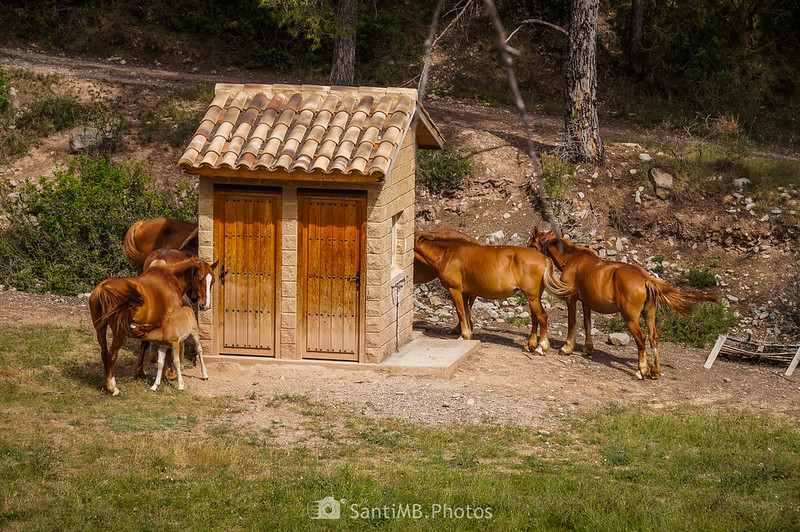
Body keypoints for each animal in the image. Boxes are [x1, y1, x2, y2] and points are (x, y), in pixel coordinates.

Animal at [89, 256, 217, 395]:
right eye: (200, 279)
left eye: (212, 281)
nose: (205, 305)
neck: (171, 279)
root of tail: (103, 289)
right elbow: (169, 351)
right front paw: (170, 373)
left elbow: (145, 344)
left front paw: (139, 371)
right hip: (119, 332)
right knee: (112, 354)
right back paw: (113, 386)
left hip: (100, 329)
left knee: (104, 352)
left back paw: (105, 384)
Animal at [414, 232, 572, 354]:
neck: (449, 252)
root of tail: (543, 257)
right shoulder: (465, 293)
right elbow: (466, 312)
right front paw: (468, 333)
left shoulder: (455, 290)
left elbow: (460, 312)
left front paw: (464, 335)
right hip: (534, 297)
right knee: (535, 318)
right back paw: (530, 345)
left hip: (532, 296)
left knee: (542, 317)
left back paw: (541, 347)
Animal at [527, 227, 719, 379]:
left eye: (531, 244)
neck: (573, 259)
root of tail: (646, 278)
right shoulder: (587, 303)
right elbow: (587, 324)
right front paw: (588, 349)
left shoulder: (571, 299)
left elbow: (572, 323)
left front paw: (567, 348)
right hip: (649, 314)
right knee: (653, 337)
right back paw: (654, 371)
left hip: (630, 317)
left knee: (641, 339)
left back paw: (641, 371)